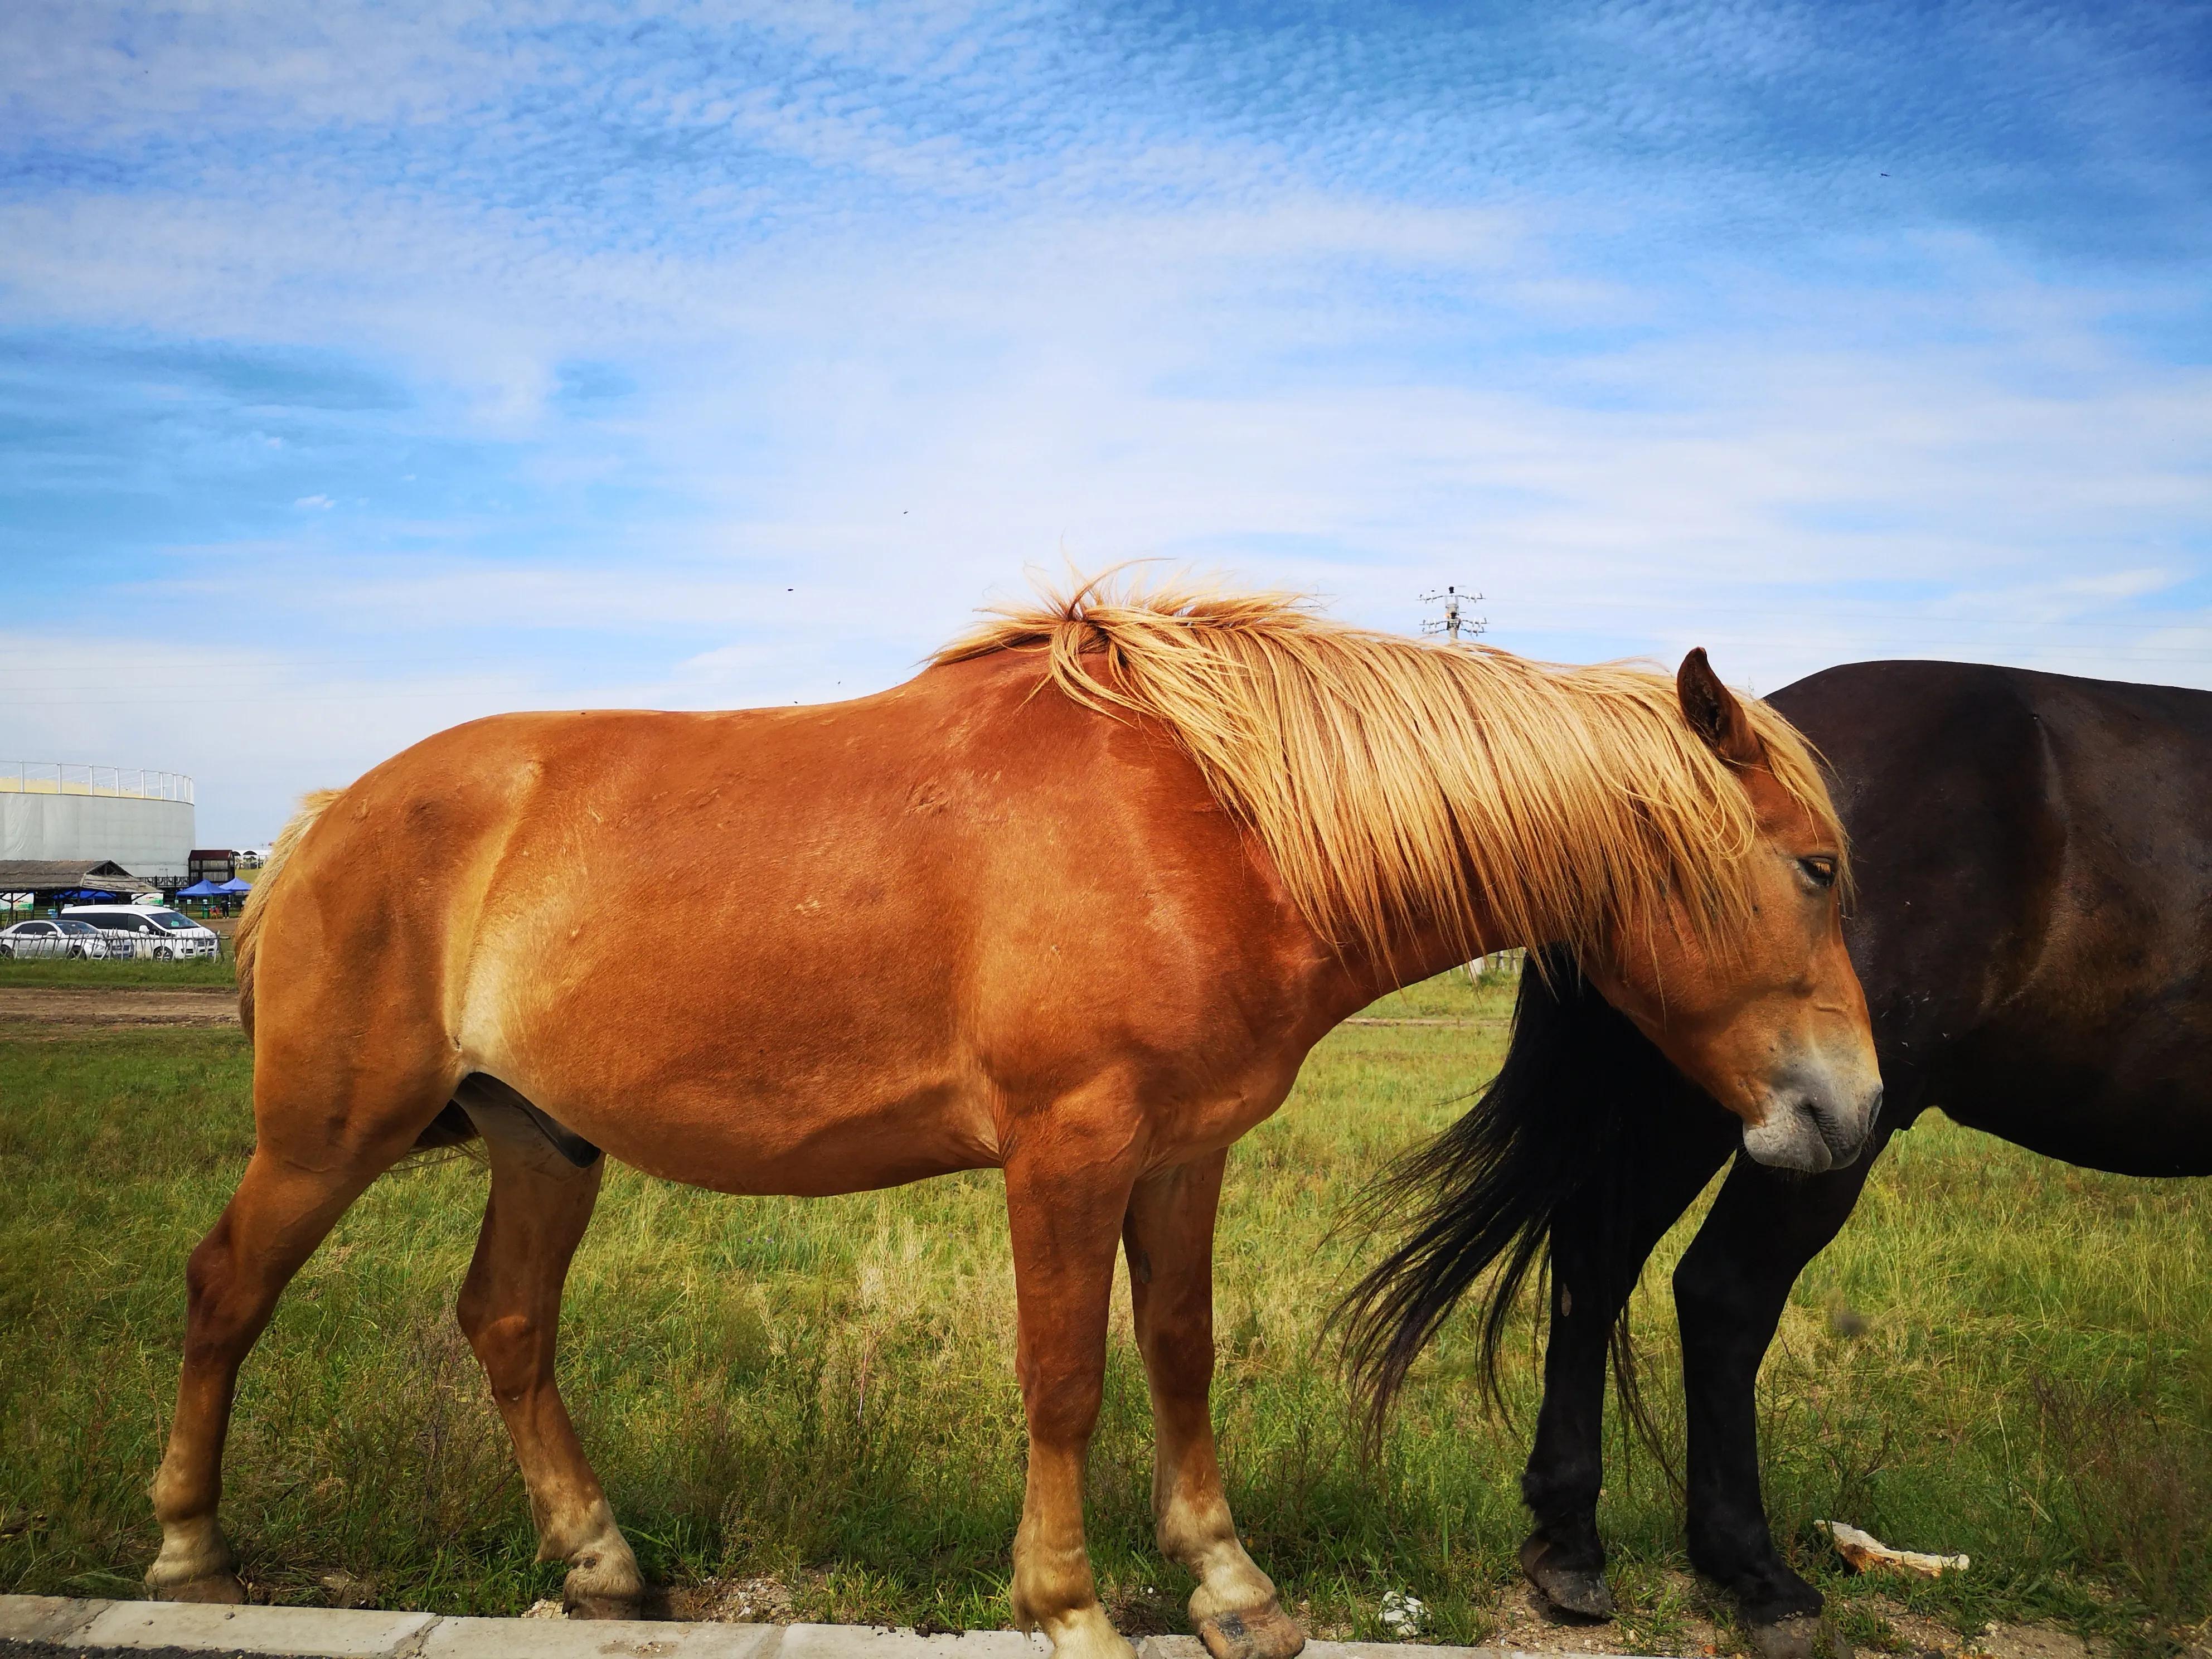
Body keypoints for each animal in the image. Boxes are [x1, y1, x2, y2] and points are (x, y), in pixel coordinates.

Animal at [147, 579, 1875, 1659]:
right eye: (1813, 867)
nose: (1846, 1111)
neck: (1213, 824)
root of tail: (331, 817)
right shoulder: (1066, 1153)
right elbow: (1063, 1378)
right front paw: (1069, 1601)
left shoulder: (1183, 1154)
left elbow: (1175, 1350)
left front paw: (1228, 1582)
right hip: (326, 1136)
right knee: (227, 1290)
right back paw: (189, 1549)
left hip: (539, 1140)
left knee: (506, 1326)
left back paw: (603, 1560)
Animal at [1336, 663, 2212, 1659]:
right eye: (1818, 871)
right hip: (1807, 1127)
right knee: (1720, 1292)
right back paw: (1753, 1572)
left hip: (1712, 1097)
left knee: (1595, 1262)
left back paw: (1570, 1543)